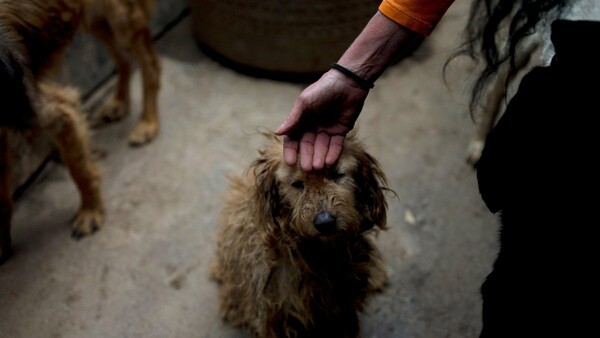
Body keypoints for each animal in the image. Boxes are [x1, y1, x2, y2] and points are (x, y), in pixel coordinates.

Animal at [0, 0, 159, 264]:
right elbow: (1, 198)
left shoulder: (56, 109)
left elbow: (81, 169)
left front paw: (91, 212)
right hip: (97, 22)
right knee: (123, 60)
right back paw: (119, 103)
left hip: (122, 20)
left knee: (149, 65)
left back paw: (148, 123)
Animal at [212, 131, 394, 336]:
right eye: (296, 184)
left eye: (337, 174)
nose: (325, 222)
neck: (319, 254)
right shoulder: (275, 315)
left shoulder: (343, 305)